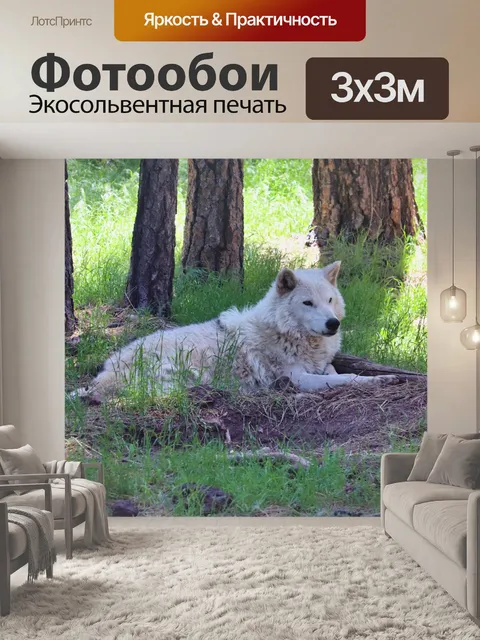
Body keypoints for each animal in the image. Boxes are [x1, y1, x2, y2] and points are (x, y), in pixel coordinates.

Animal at [73, 261, 396, 402]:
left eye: (329, 301)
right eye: (308, 303)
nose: (333, 324)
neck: (288, 334)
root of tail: (102, 375)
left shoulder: (320, 365)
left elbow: (334, 372)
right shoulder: (297, 378)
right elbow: (345, 378)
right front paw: (380, 380)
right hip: (186, 369)